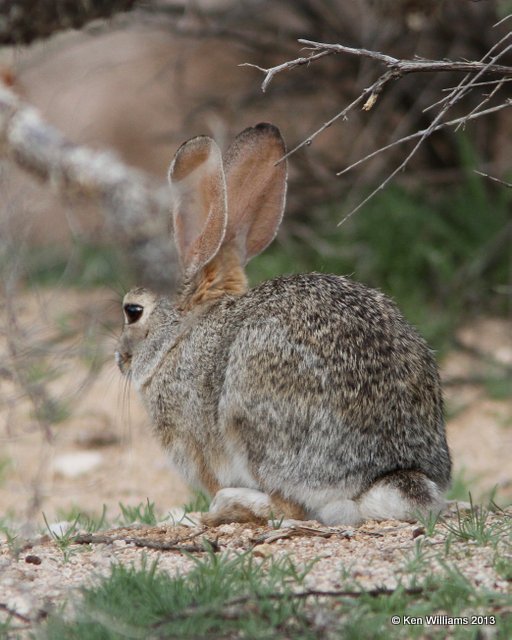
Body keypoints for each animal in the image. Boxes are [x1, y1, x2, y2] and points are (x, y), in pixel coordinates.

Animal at [116, 122, 452, 528]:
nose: (120, 359)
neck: (180, 336)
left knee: (290, 507)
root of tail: (387, 475)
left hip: (250, 421)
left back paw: (228, 506)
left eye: (133, 311)